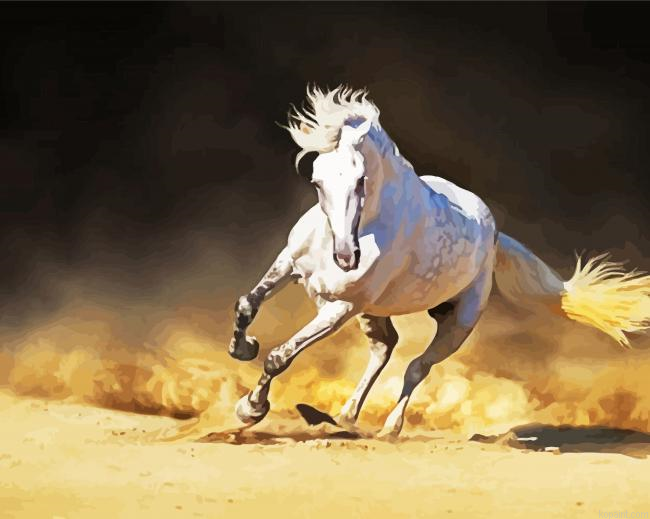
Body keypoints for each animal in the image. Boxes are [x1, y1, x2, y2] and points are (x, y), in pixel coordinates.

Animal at [228, 85, 650, 439]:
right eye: (316, 182)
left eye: (361, 180)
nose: (346, 257)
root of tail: (493, 235)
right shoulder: (289, 265)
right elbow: (248, 304)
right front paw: (242, 348)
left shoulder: (340, 308)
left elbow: (280, 356)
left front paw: (251, 409)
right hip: (375, 311)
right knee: (384, 347)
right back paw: (345, 415)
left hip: (457, 322)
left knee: (416, 365)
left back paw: (387, 428)